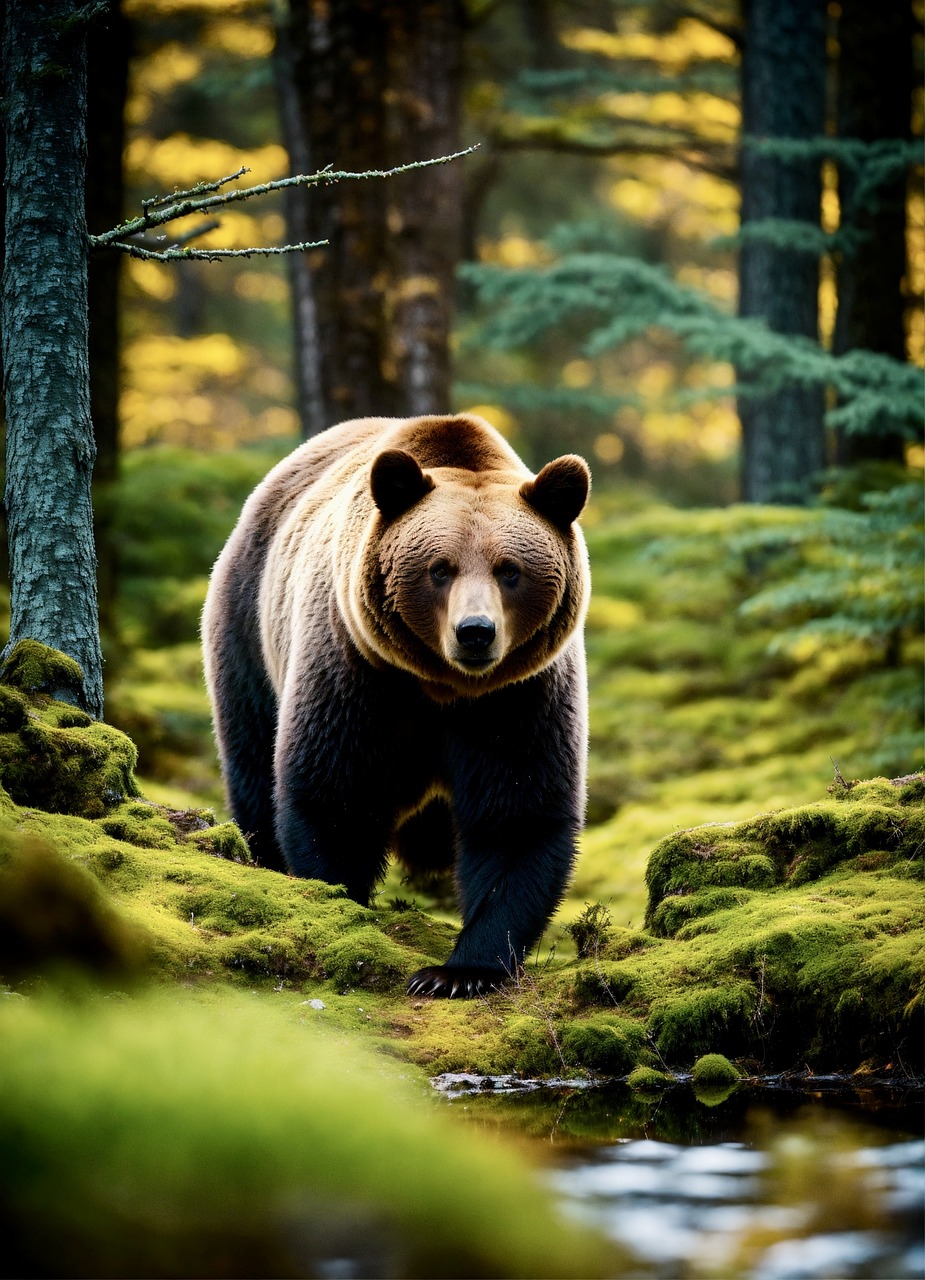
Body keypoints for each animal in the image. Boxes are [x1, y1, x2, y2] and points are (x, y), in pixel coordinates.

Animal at [201, 413, 590, 998]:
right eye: (440, 568)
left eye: (510, 569)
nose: (475, 632)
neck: (442, 686)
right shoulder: (358, 670)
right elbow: (334, 791)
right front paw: (341, 906)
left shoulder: (519, 696)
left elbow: (517, 812)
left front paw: (457, 972)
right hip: (247, 626)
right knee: (251, 763)